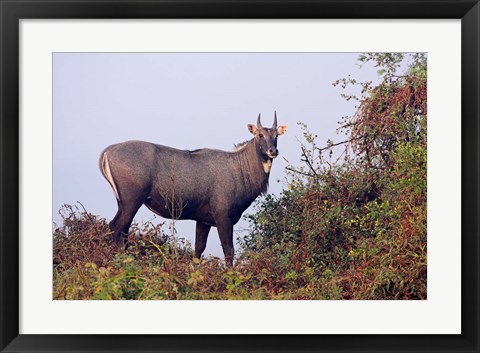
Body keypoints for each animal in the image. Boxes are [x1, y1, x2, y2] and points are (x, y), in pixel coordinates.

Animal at [99, 113, 286, 264]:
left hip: (123, 201)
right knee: (118, 227)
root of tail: (106, 152)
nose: (273, 151)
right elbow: (228, 250)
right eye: (260, 134)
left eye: (276, 135)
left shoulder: (203, 220)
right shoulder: (223, 217)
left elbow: (198, 250)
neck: (240, 168)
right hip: (131, 200)